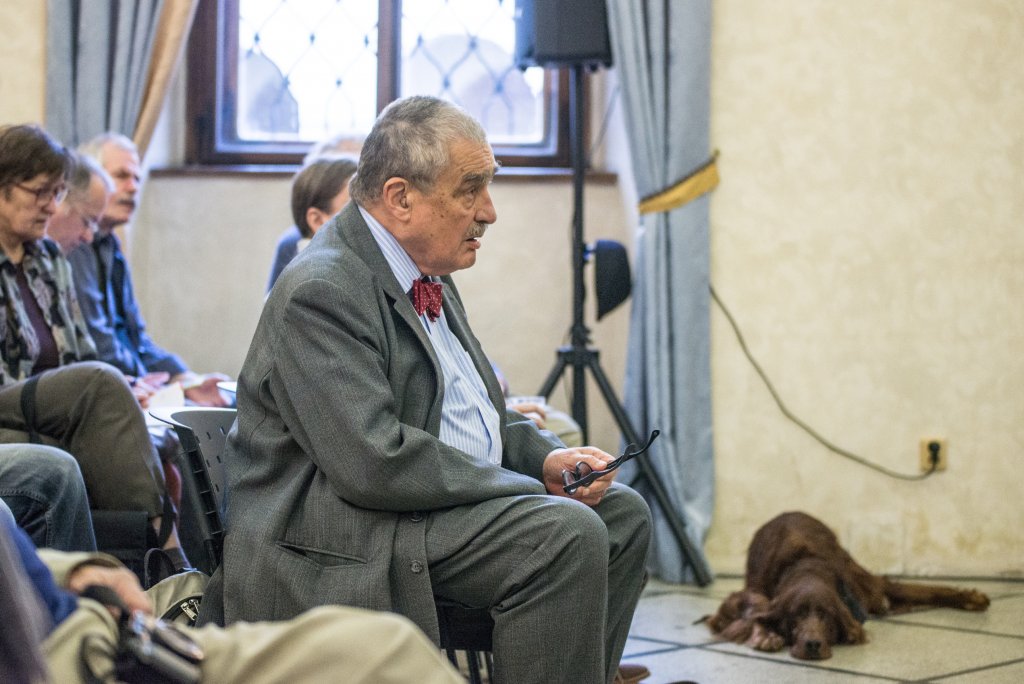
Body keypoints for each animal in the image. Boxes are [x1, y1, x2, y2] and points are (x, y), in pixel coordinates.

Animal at [706, 511, 990, 660]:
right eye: (796, 616)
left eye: (827, 617)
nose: (812, 645)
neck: (806, 566)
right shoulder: (758, 595)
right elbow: (752, 617)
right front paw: (765, 635)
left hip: (864, 583)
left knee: (906, 589)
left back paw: (970, 598)